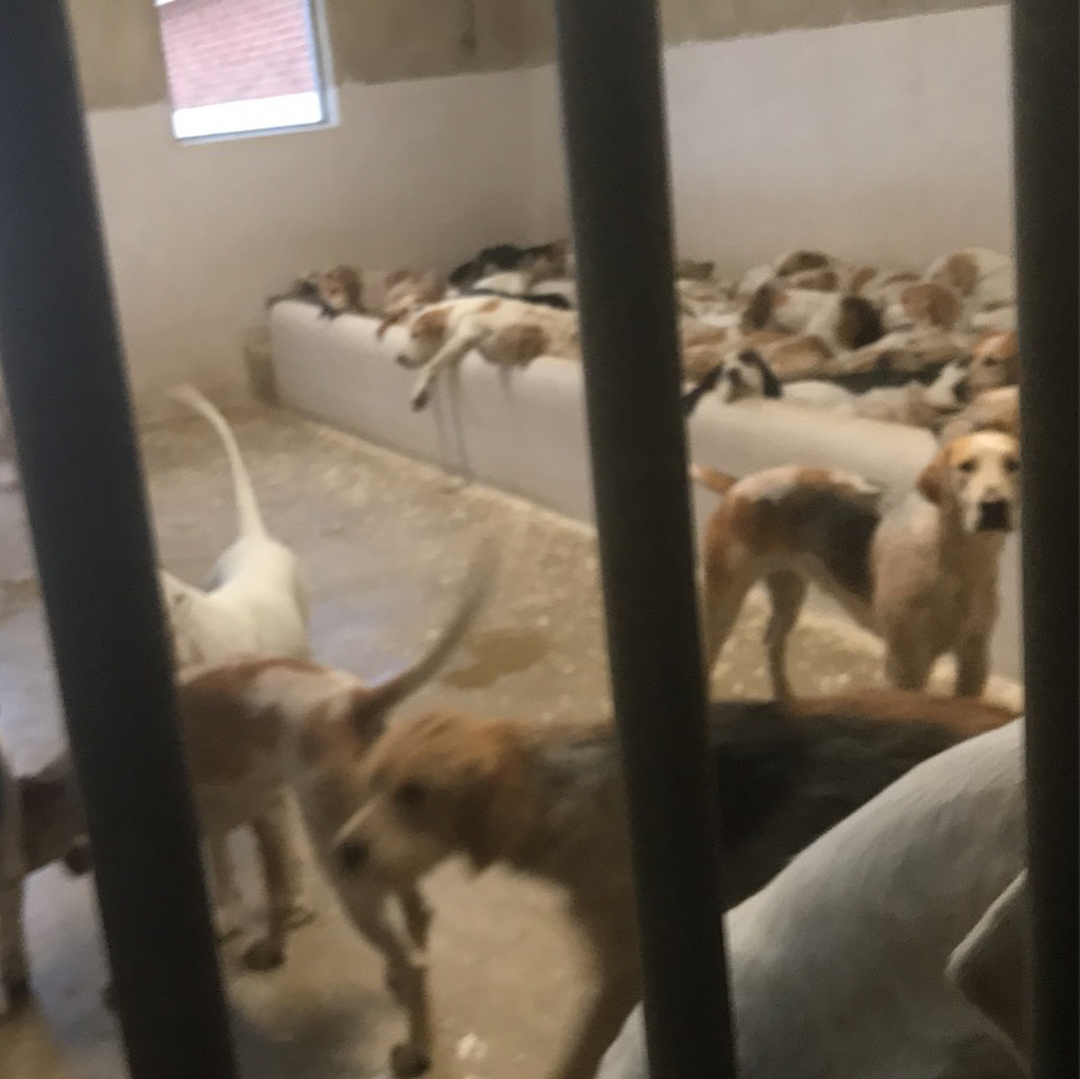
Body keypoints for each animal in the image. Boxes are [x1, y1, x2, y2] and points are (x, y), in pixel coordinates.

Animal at [393, 296, 580, 411]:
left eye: (415, 335)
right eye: (409, 333)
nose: (398, 358)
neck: (455, 313)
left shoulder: (467, 330)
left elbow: (432, 364)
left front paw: (418, 390)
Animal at [694, 429, 1020, 699]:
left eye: (1013, 465)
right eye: (966, 466)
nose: (994, 506)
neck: (959, 563)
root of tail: (740, 485)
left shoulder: (974, 660)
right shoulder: (908, 666)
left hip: (788, 594)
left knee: (772, 641)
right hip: (722, 603)